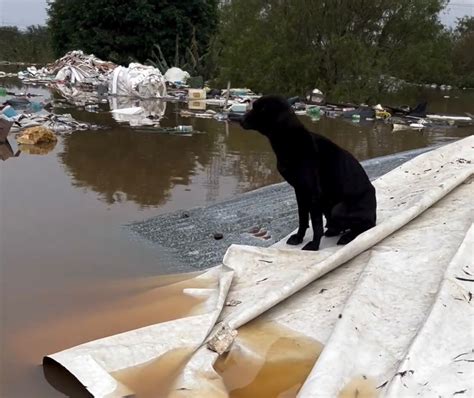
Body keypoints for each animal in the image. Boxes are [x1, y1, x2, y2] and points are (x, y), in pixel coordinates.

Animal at [243, 95, 376, 250]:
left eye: (261, 109)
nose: (240, 119)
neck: (291, 142)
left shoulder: (312, 193)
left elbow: (316, 225)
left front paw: (314, 245)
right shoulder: (300, 191)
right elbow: (303, 218)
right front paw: (299, 237)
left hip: (338, 209)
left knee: (366, 227)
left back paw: (348, 236)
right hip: (326, 205)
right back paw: (334, 231)